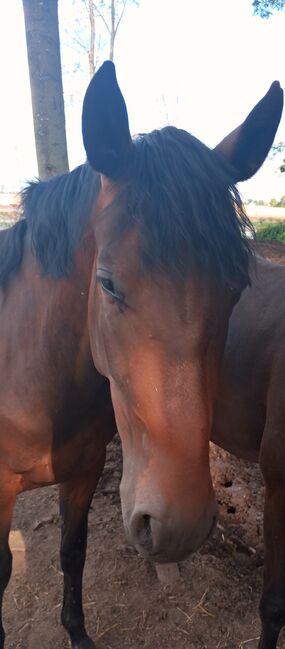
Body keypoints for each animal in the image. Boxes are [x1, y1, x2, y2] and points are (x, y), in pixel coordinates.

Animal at [0, 62, 280, 648]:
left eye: (238, 289)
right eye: (106, 283)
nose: (179, 526)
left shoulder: (82, 474)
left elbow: (72, 552)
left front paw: (77, 632)